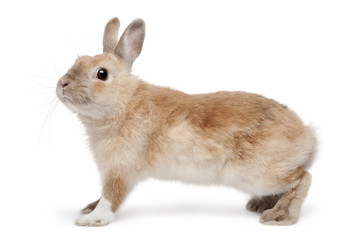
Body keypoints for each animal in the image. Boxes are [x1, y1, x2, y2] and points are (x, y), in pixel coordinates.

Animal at [55, 17, 318, 227]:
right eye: (77, 61)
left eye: (102, 74)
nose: (63, 84)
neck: (125, 104)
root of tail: (307, 138)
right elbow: (103, 196)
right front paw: (89, 208)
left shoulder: (120, 170)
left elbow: (111, 197)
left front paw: (90, 220)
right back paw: (260, 205)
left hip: (257, 173)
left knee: (302, 178)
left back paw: (280, 216)